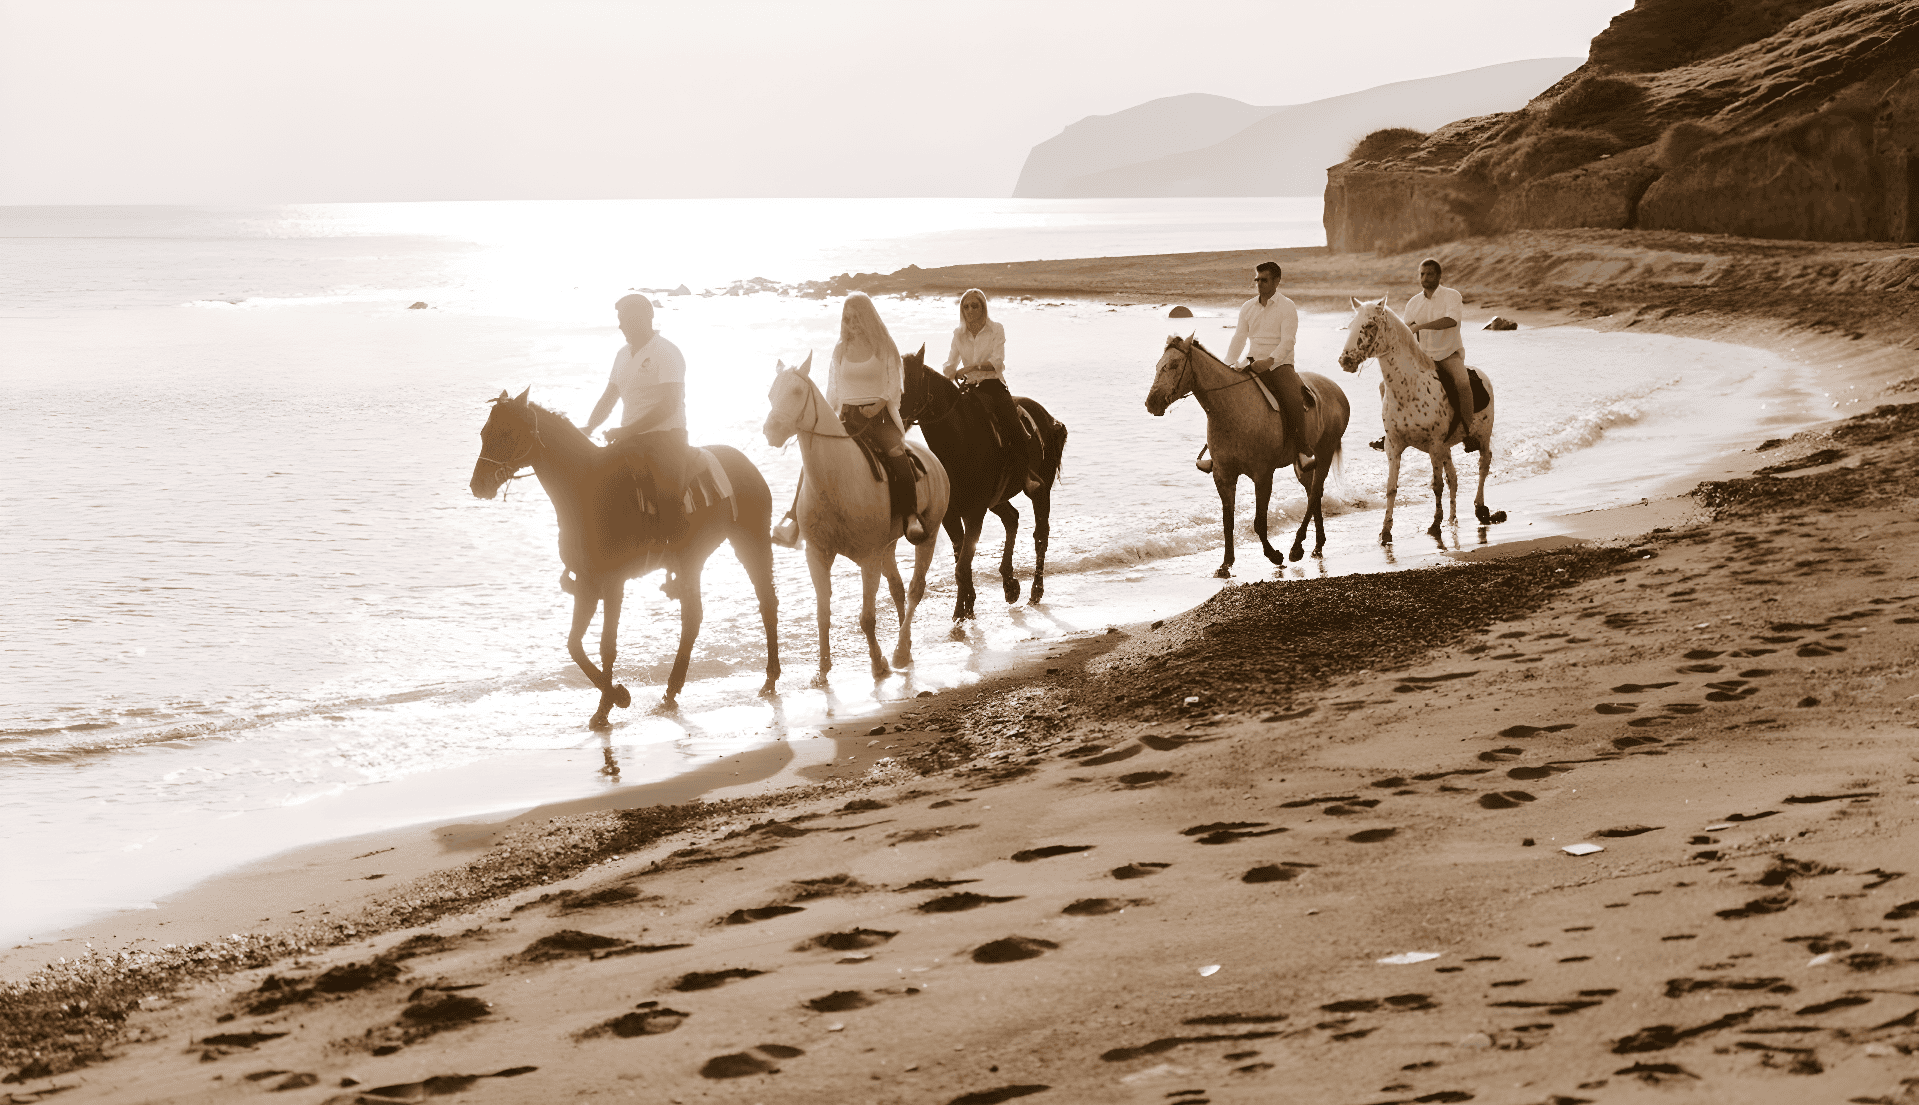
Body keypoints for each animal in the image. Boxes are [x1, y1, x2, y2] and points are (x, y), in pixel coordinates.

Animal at [468, 389, 779, 726]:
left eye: (508, 433)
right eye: (484, 433)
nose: (478, 484)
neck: (586, 490)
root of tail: (745, 462)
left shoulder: (613, 582)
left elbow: (607, 646)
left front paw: (611, 702)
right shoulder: (588, 583)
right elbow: (574, 644)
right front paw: (614, 695)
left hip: (751, 542)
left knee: (766, 603)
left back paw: (770, 678)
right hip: (691, 560)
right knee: (692, 618)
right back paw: (671, 691)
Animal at [762, 355, 951, 684]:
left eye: (796, 392)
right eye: (772, 393)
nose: (770, 429)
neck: (835, 479)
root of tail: (933, 461)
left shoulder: (868, 558)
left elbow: (867, 618)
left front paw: (878, 664)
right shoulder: (818, 556)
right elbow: (822, 614)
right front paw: (822, 669)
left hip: (927, 535)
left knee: (915, 590)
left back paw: (899, 652)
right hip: (887, 547)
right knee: (898, 589)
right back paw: (906, 647)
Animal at [898, 345, 1068, 621]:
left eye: (908, 380)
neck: (959, 441)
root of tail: (1050, 420)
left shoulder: (974, 513)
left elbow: (962, 565)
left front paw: (964, 608)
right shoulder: (952, 515)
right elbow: (961, 562)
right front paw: (964, 608)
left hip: (1040, 492)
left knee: (1040, 535)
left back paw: (1035, 590)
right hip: (997, 499)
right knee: (1011, 518)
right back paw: (1010, 584)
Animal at [1145, 336, 1350, 577]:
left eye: (1174, 365)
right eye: (1158, 365)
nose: (1152, 402)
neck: (1231, 409)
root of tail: (1337, 390)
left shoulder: (1263, 475)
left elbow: (1259, 522)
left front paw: (1274, 556)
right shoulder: (1223, 476)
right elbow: (1228, 521)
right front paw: (1226, 564)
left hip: (1325, 452)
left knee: (1315, 492)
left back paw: (1296, 547)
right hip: (1302, 464)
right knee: (1313, 494)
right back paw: (1317, 545)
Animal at [1336, 297, 1502, 543]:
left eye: (1369, 325)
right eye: (1350, 325)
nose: (1345, 361)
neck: (1409, 389)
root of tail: (1480, 374)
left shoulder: (1434, 445)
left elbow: (1436, 486)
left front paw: (1434, 524)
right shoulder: (1395, 447)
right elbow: (1391, 488)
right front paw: (1386, 531)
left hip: (1481, 437)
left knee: (1483, 465)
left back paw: (1480, 508)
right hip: (1446, 448)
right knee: (1454, 478)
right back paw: (1452, 519)